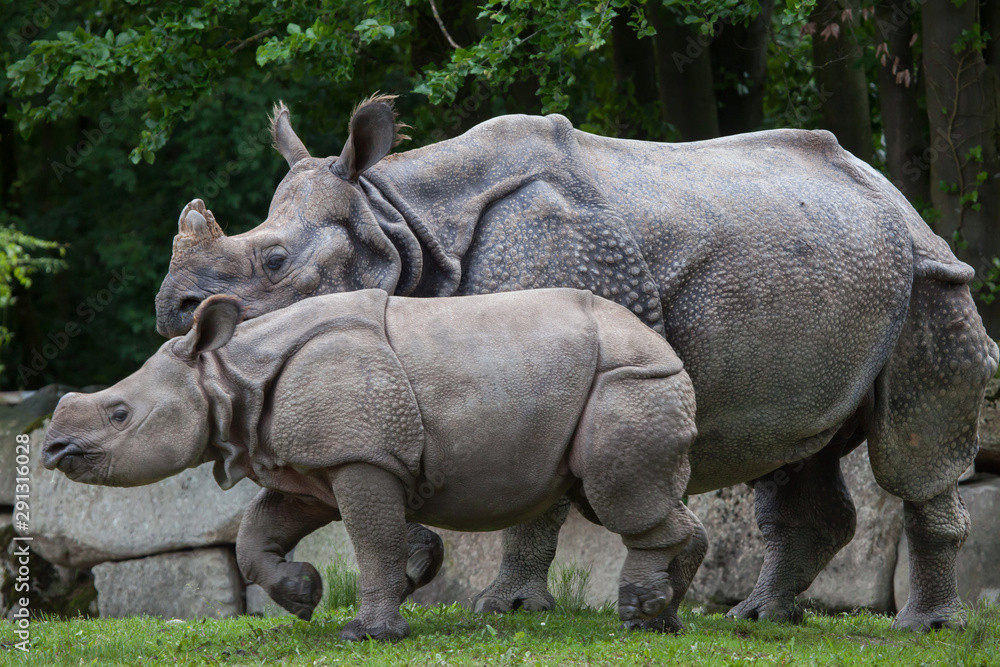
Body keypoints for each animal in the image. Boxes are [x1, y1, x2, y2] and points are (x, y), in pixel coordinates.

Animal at [43, 288, 700, 640]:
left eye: (119, 414)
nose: (51, 449)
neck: (227, 375)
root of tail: (666, 347)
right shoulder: (308, 465)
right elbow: (256, 535)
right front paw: (302, 596)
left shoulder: (360, 456)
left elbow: (373, 541)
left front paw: (368, 633)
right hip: (616, 378)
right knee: (621, 493)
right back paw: (662, 618)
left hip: (629, 378)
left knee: (618, 497)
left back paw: (639, 612)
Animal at [154, 96, 999, 631]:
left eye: (272, 261)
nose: (173, 308)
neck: (402, 225)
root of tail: (894, 194)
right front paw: (408, 568)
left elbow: (532, 498)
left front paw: (501, 608)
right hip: (824, 269)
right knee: (798, 452)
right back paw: (760, 617)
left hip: (928, 279)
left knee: (912, 450)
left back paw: (922, 626)